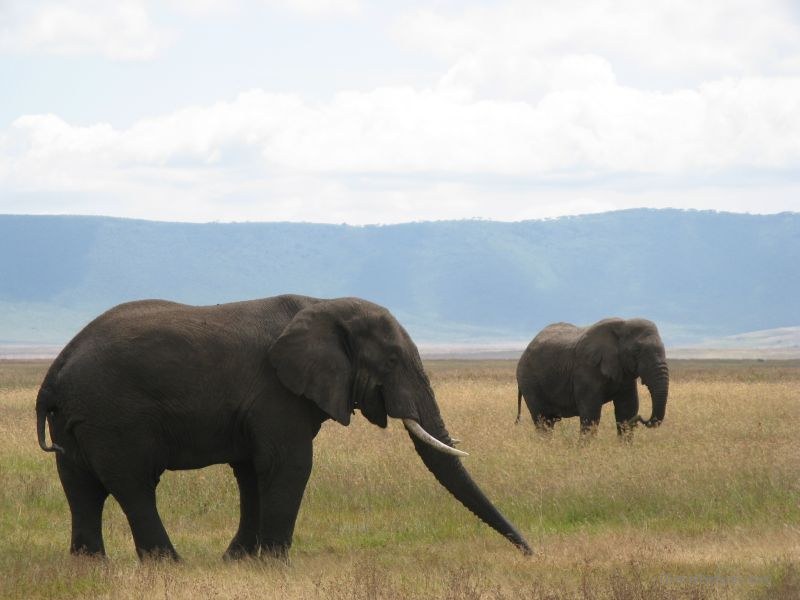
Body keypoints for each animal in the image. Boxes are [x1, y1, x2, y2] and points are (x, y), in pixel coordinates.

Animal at [36, 295, 532, 560]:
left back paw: (92, 567)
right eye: (391, 360)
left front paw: (238, 561)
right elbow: (288, 464)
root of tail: (56, 368)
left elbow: (252, 472)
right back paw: (169, 566)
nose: (530, 552)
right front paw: (274, 564)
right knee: (134, 486)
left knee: (80, 487)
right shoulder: (276, 392)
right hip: (113, 416)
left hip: (76, 420)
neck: (322, 305)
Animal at [515, 318, 668, 437]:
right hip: (529, 381)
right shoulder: (586, 369)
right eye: (636, 351)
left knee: (548, 421)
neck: (623, 324)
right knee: (542, 420)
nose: (639, 418)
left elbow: (626, 409)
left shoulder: (624, 373)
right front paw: (583, 451)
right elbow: (591, 413)